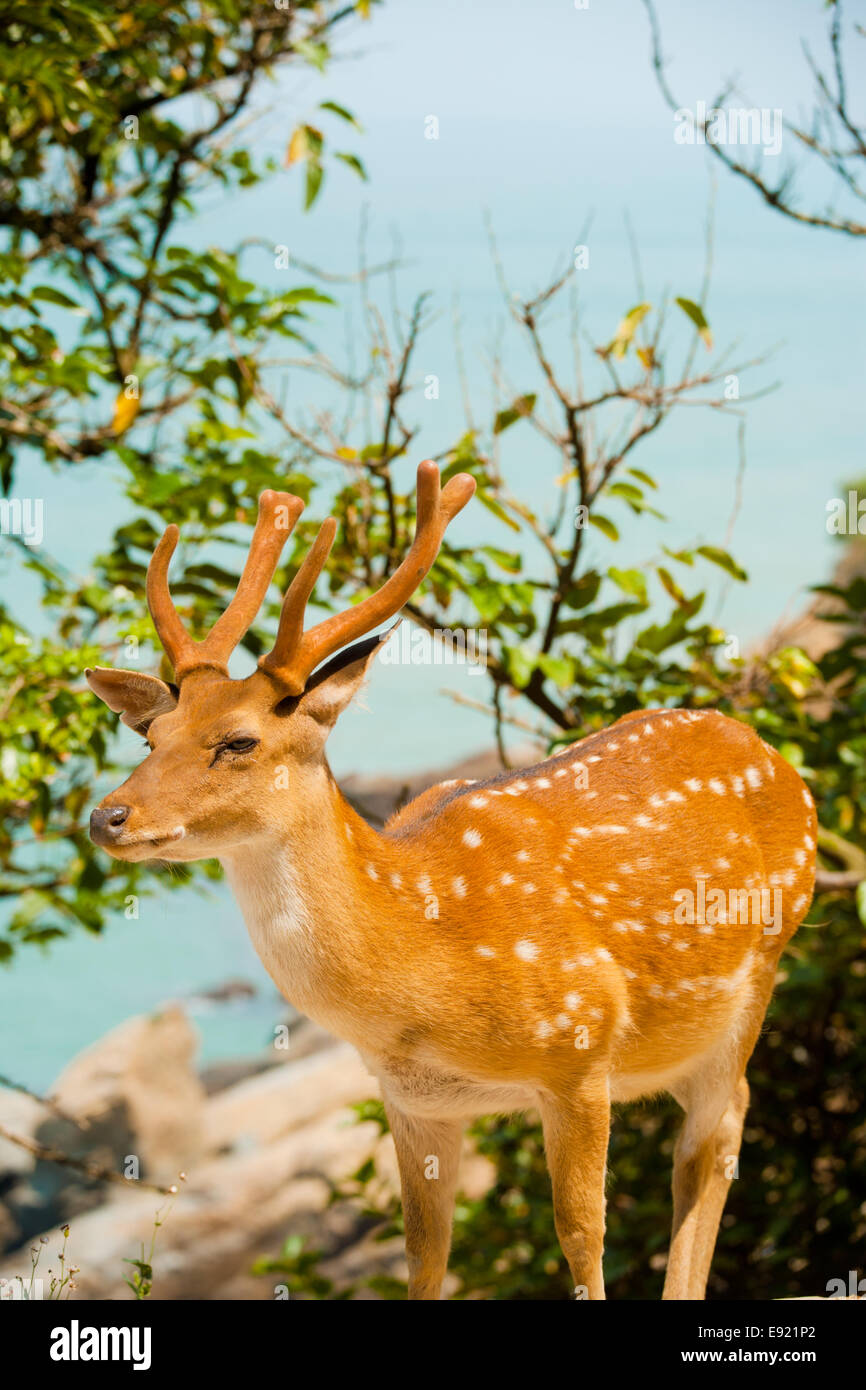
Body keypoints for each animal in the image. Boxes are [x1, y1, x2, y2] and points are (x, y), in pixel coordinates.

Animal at [88, 461, 817, 1295]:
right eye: (152, 735)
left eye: (238, 741)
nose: (107, 816)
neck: (427, 965)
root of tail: (774, 755)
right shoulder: (413, 1102)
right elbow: (424, 1248)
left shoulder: (580, 1049)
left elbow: (582, 1232)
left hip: (758, 975)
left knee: (716, 1137)